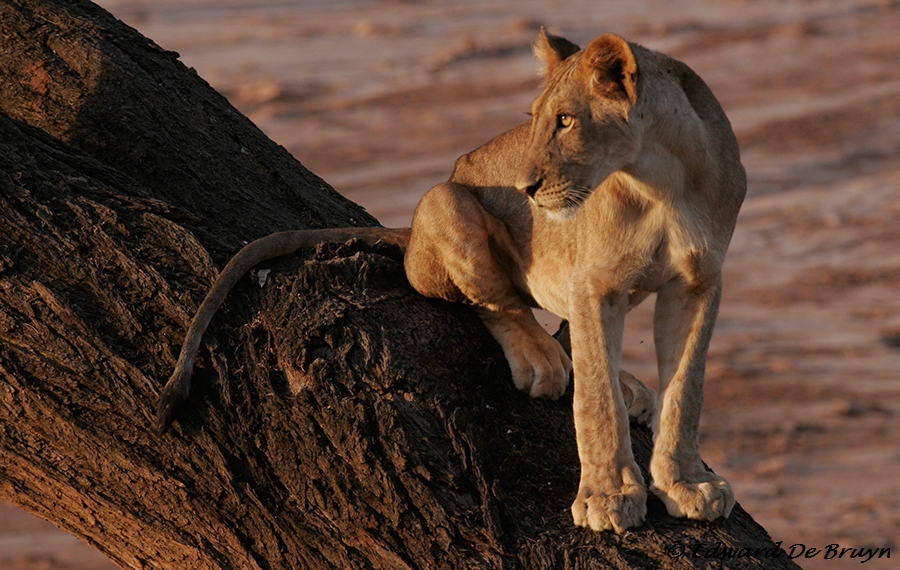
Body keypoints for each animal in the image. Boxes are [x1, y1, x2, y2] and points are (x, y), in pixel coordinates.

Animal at [160, 28, 744, 532]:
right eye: (535, 119)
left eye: (565, 120)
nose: (526, 189)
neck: (660, 180)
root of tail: (415, 230)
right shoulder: (593, 283)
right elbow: (596, 401)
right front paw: (608, 496)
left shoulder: (699, 284)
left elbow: (686, 389)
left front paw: (686, 484)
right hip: (445, 200)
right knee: (495, 306)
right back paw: (541, 360)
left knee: (564, 330)